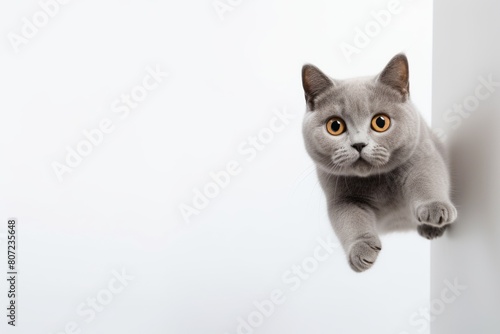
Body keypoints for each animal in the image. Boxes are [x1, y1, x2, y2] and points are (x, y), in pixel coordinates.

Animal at [300, 54, 458, 272]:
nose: (359, 144)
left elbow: (427, 180)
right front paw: (361, 249)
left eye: (380, 122)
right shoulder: (341, 197)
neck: (378, 182)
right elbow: (350, 220)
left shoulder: (423, 158)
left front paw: (434, 208)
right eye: (335, 126)